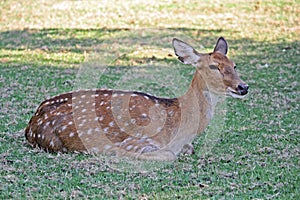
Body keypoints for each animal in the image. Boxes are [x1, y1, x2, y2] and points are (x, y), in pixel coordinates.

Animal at [24, 37, 248, 161]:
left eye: (234, 65)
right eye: (213, 66)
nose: (243, 87)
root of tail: (30, 123)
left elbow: (188, 150)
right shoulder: (137, 141)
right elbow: (167, 155)